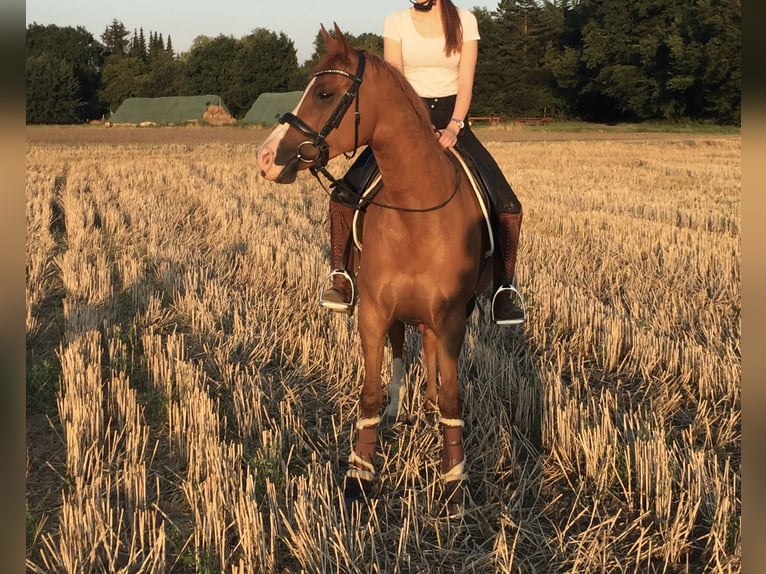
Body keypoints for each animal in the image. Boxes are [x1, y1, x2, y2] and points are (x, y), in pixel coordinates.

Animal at [258, 24, 492, 506]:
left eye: (325, 93)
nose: (266, 158)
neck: (416, 208)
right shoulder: (373, 313)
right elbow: (368, 393)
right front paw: (361, 471)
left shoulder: (452, 318)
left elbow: (453, 398)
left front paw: (454, 476)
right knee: (403, 346)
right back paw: (400, 409)